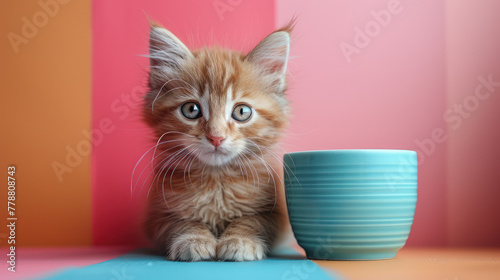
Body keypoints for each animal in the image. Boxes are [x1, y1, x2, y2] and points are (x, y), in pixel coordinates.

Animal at [143, 22, 292, 262]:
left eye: (242, 112)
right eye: (191, 109)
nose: (216, 137)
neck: (216, 180)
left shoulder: (274, 213)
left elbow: (251, 221)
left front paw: (239, 241)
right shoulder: (158, 214)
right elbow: (182, 222)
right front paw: (194, 240)